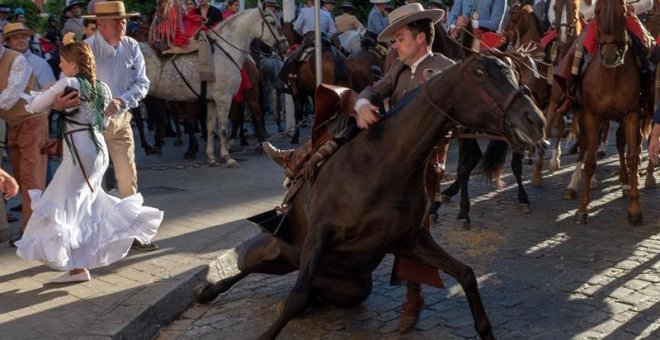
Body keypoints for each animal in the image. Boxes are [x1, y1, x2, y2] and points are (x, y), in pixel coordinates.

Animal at [142, 3, 286, 166]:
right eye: (272, 23)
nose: (284, 45)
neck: (223, 52)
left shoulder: (212, 100)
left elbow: (210, 127)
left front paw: (211, 157)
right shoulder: (223, 98)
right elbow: (222, 127)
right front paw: (226, 157)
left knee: (254, 114)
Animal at [192, 53, 548, 340]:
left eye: (513, 71)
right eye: (479, 73)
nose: (536, 120)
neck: (384, 165)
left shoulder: (411, 239)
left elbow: (467, 274)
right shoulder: (320, 234)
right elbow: (295, 296)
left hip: (348, 288)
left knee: (310, 290)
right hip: (273, 252)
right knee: (248, 268)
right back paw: (207, 291)